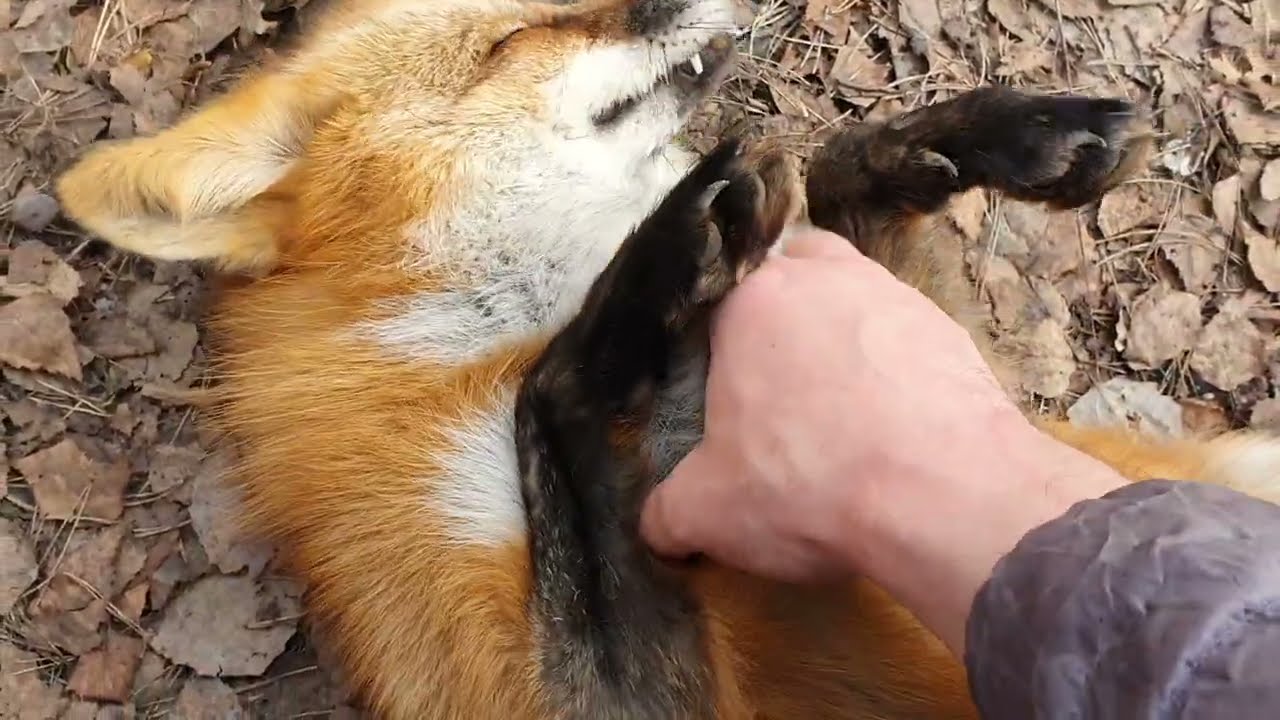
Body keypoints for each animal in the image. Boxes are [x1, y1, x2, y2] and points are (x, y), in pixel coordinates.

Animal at [51, 0, 1280, 718]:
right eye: (512, 38)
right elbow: (553, 410)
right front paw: (639, 285)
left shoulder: (966, 394)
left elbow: (840, 170)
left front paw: (1005, 132)